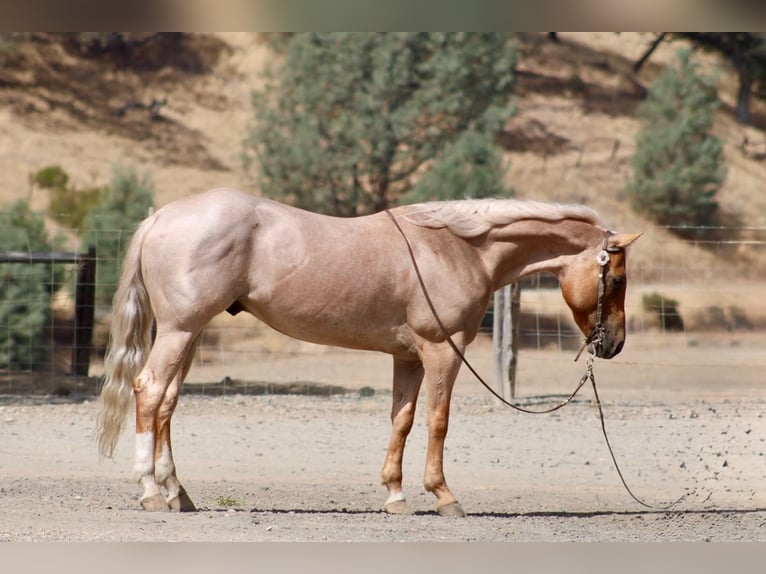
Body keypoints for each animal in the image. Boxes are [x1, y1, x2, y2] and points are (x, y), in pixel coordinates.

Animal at [96, 187, 641, 517]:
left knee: (167, 403)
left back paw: (177, 493)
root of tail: (161, 216)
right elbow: (438, 420)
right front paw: (443, 496)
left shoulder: (409, 357)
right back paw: (150, 491)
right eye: (616, 279)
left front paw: (395, 495)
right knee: (149, 392)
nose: (613, 344)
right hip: (179, 331)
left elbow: (401, 419)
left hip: (186, 334)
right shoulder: (443, 352)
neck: (457, 249)